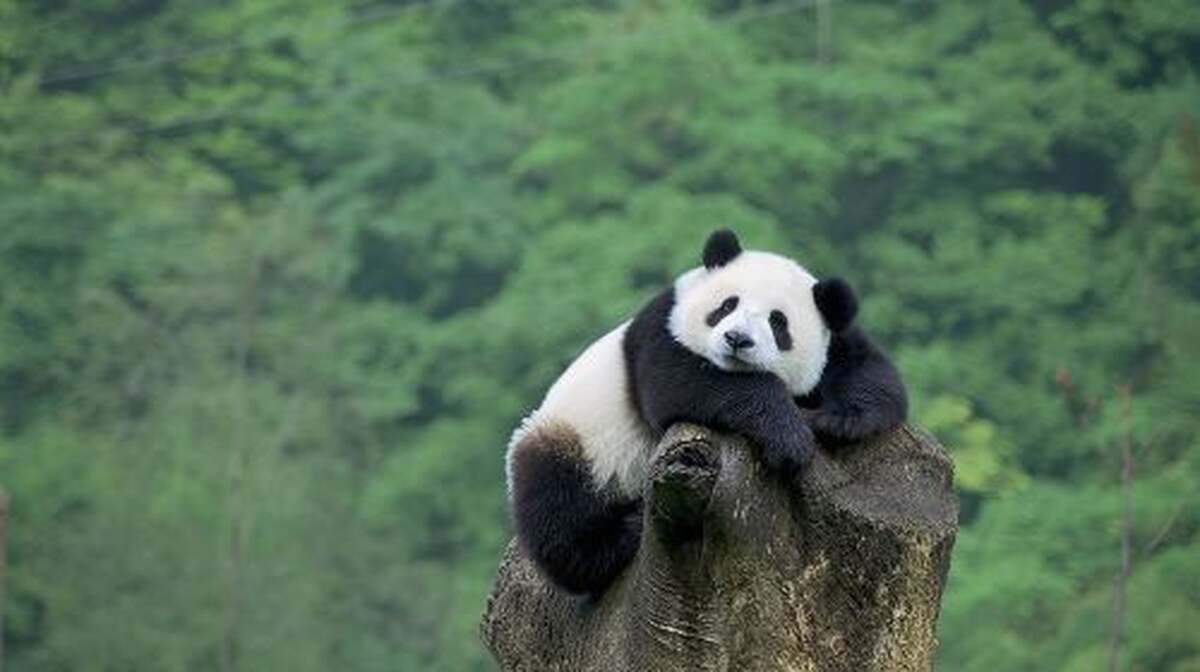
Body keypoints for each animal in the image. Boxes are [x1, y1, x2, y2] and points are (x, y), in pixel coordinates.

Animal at [506, 229, 907, 597]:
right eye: (727, 305)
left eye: (778, 322)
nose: (737, 339)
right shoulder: (661, 324)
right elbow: (680, 383)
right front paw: (788, 438)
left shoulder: (837, 340)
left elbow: (869, 369)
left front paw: (841, 420)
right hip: (575, 439)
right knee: (559, 509)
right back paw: (624, 532)